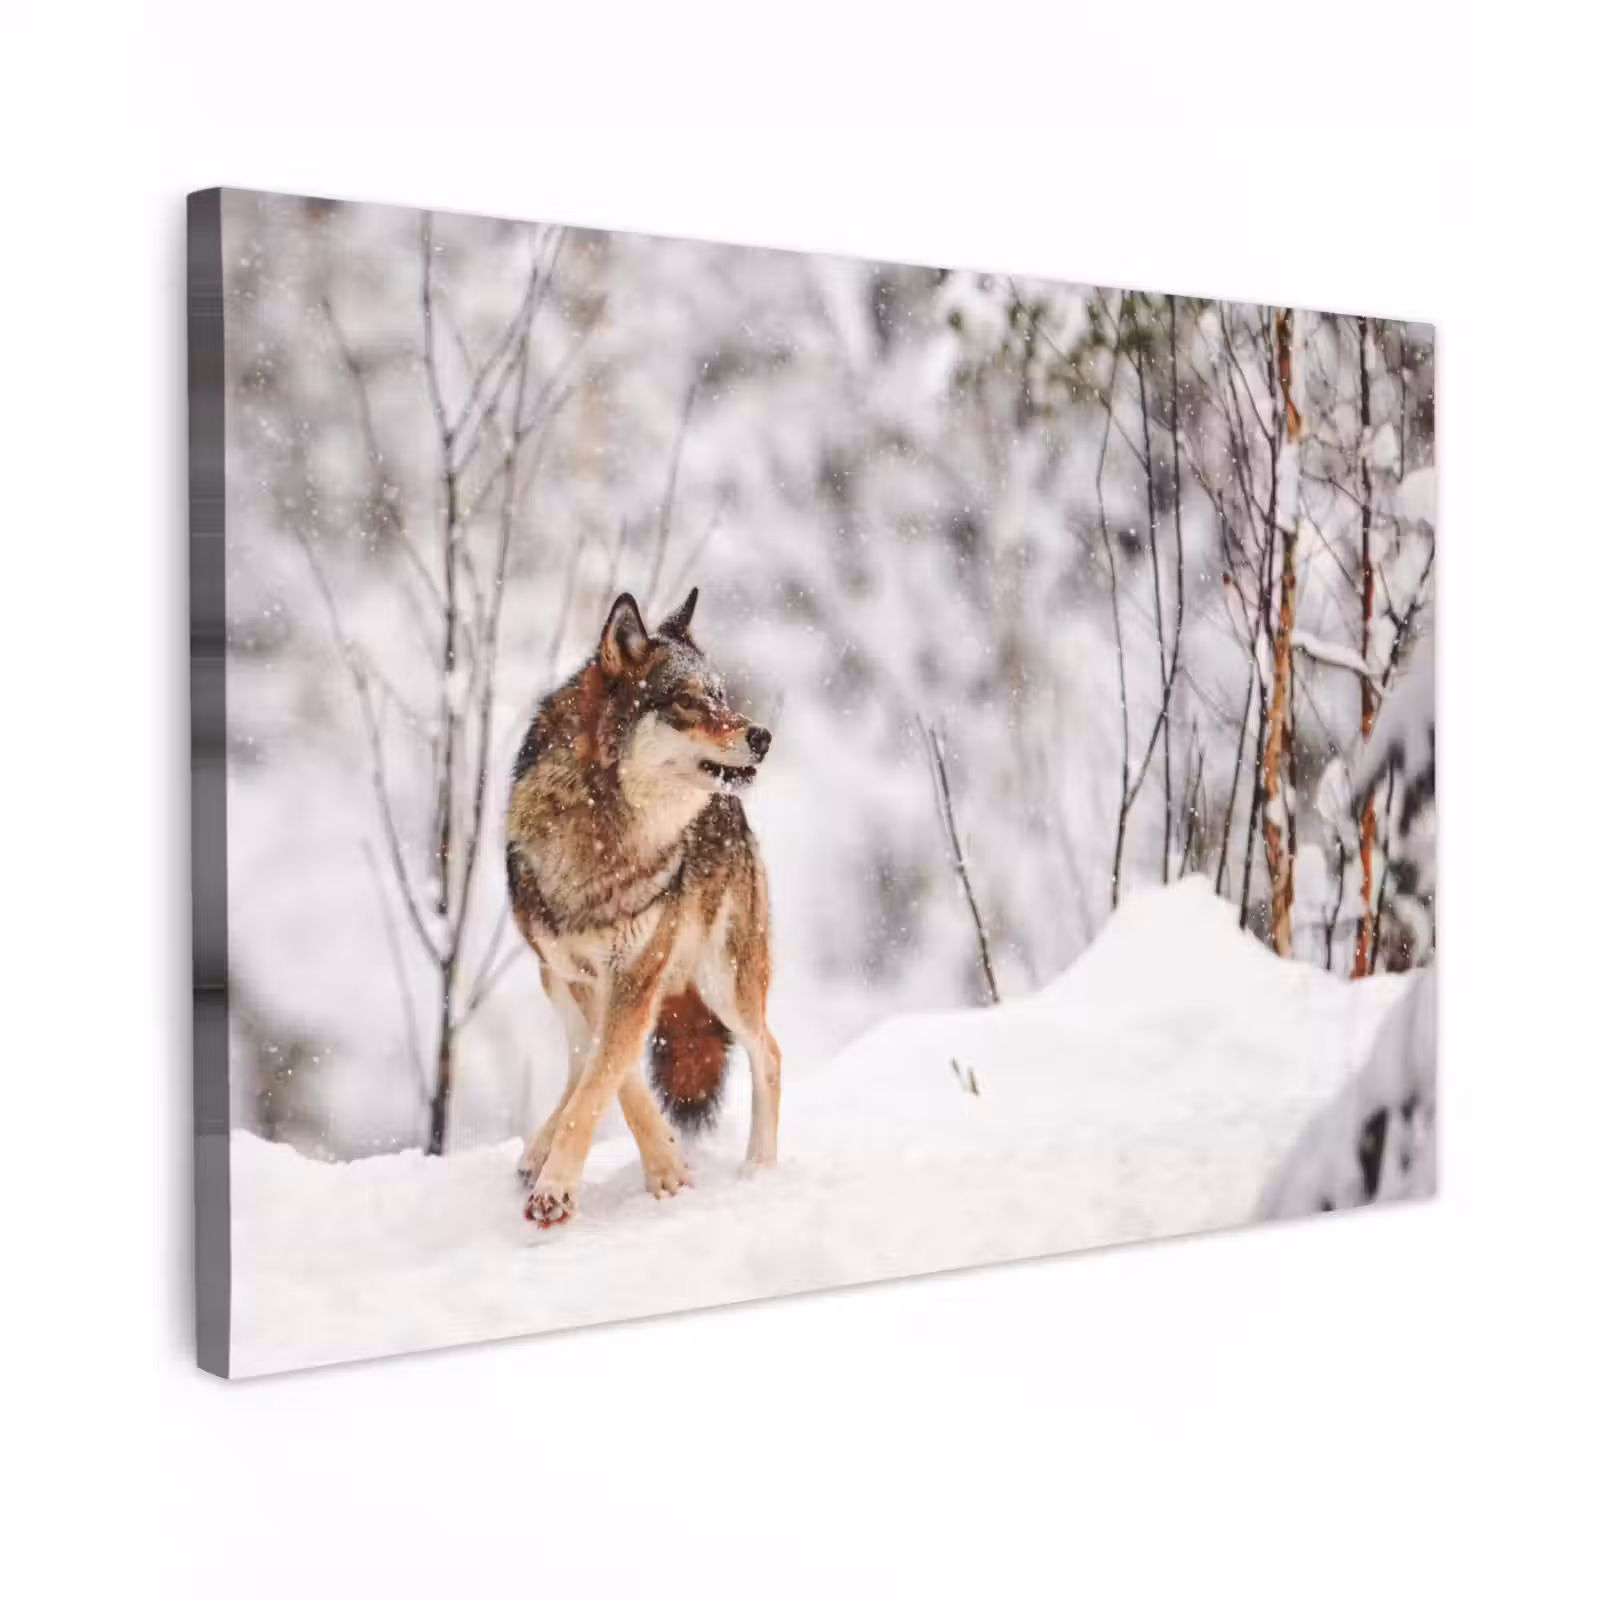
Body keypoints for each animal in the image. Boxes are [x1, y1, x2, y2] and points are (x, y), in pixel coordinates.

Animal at [504, 587, 780, 1227]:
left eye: (721, 695)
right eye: (686, 700)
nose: (761, 736)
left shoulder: (636, 973)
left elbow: (606, 1076)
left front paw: (559, 1190)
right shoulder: (585, 976)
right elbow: (613, 1076)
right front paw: (665, 1166)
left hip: (725, 981)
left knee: (770, 1053)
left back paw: (759, 1169)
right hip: (552, 978)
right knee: (579, 1057)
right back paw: (536, 1148)